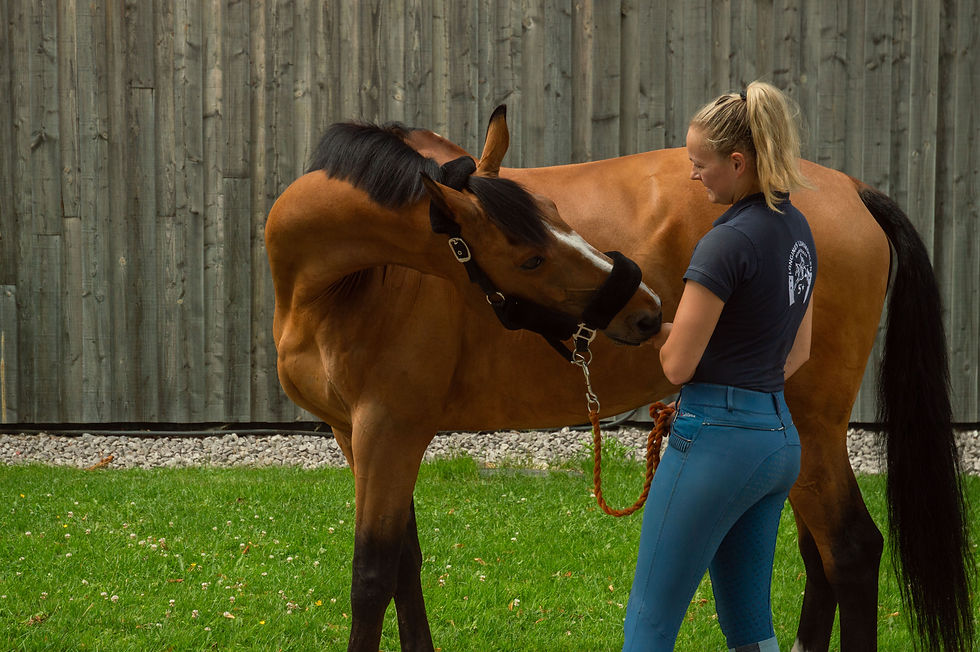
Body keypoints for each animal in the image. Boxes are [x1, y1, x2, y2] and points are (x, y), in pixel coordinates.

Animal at [267, 107, 973, 651]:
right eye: (530, 255)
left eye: (556, 210)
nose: (647, 311)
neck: (339, 289)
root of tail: (850, 189)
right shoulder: (358, 436)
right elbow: (404, 565)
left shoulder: (390, 430)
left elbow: (372, 576)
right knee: (818, 556)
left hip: (815, 426)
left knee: (849, 551)